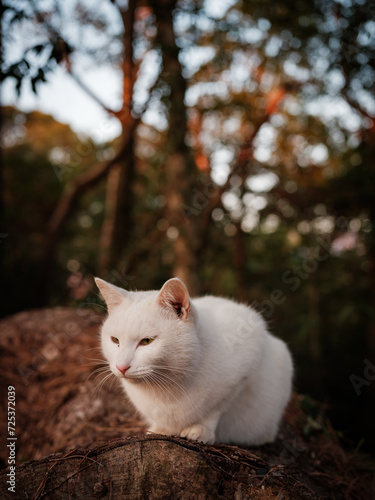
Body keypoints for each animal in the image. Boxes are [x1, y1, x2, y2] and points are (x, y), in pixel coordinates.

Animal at [96, 278, 294, 446]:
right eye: (115, 340)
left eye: (146, 341)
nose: (121, 367)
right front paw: (161, 429)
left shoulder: (249, 353)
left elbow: (216, 409)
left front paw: (201, 429)